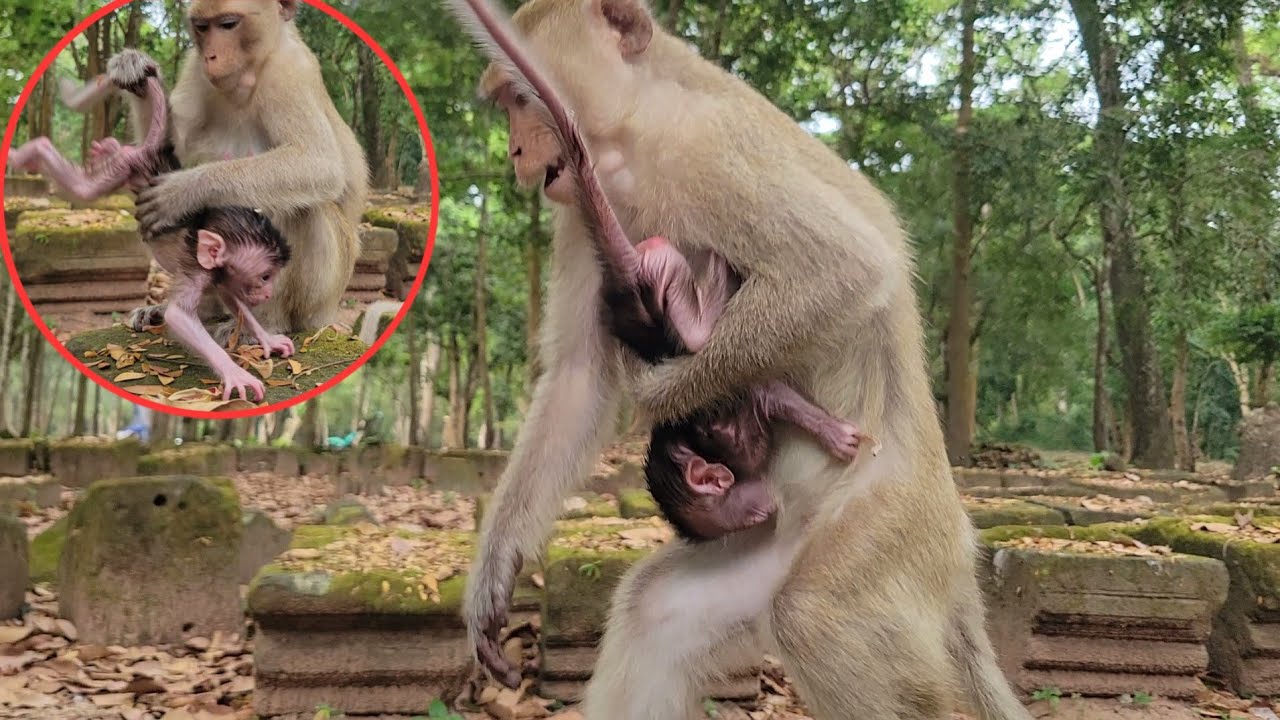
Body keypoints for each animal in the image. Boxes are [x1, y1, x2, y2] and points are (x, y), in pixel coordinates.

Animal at [126, 0, 368, 346]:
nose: (211, 57)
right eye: (202, 27)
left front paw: (182, 192)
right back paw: (193, 309)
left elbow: (319, 162)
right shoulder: (195, 68)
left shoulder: (288, 72)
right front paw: (134, 72)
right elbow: (165, 152)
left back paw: (266, 323)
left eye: (228, 24)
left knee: (305, 208)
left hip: (321, 298)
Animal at [444, 1, 1034, 718]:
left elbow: (846, 270)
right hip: (761, 552)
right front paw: (493, 577)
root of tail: (959, 554)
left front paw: (664, 389)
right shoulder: (583, 213)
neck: (636, 133)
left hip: (891, 524)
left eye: (519, 99)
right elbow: (578, 378)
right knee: (654, 613)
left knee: (815, 614)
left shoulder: (712, 149)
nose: (516, 151)